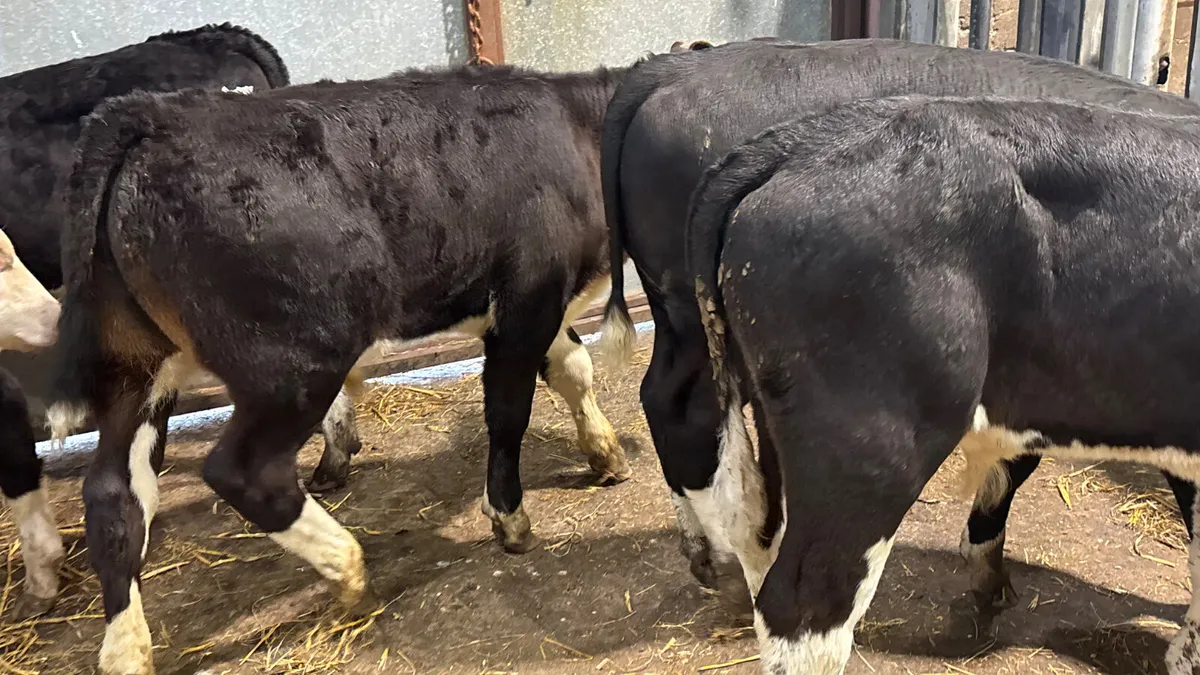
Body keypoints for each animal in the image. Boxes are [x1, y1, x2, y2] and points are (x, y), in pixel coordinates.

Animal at [46, 63, 631, 674]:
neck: (577, 126)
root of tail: (153, 113)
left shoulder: (544, 308)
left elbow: (573, 367)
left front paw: (604, 454)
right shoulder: (525, 305)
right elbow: (509, 412)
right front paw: (510, 518)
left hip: (137, 370)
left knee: (115, 493)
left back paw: (126, 650)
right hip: (296, 363)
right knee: (245, 472)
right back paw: (349, 570)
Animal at [595, 37, 1200, 608]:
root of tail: (672, 66)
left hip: (679, 312)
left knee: (663, 396)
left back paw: (704, 553)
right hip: (698, 316)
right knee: (691, 414)